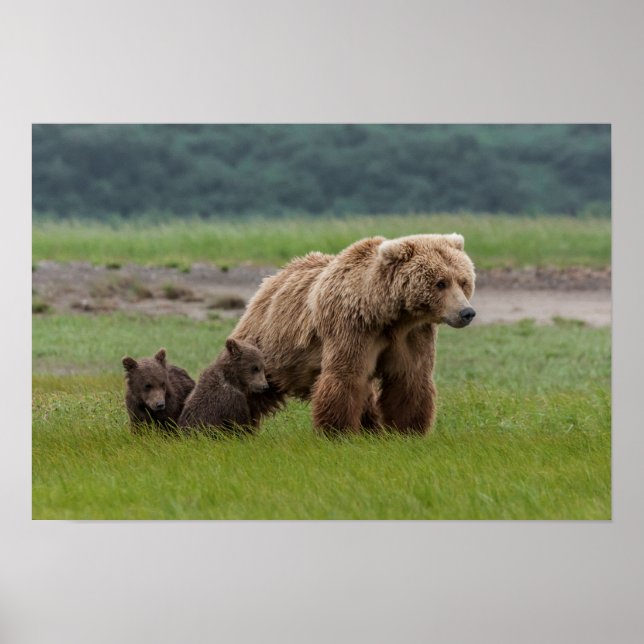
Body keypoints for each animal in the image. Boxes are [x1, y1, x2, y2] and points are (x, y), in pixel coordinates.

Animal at [230, 233, 476, 436]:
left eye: (463, 281)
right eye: (440, 283)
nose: (467, 312)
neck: (387, 314)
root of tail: (274, 277)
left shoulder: (411, 334)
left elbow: (409, 378)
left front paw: (407, 429)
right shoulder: (352, 328)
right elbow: (346, 376)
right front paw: (337, 430)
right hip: (272, 345)